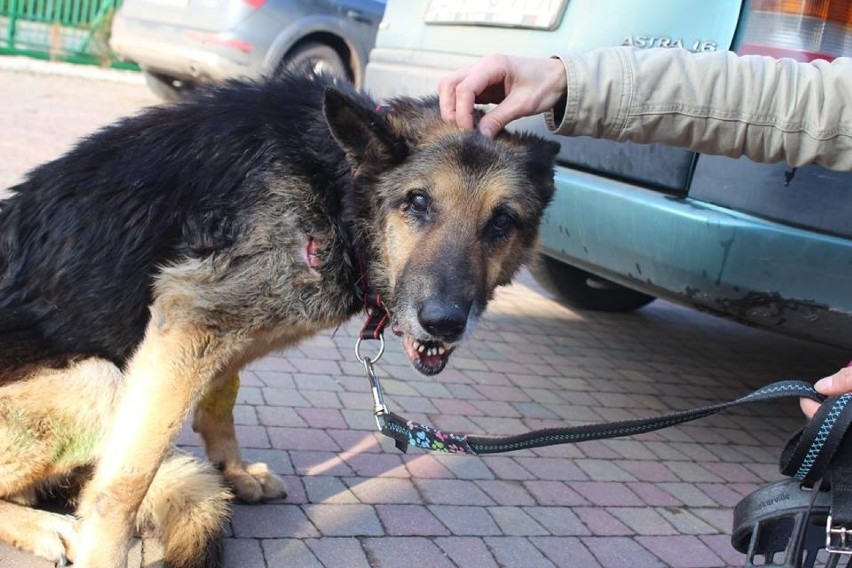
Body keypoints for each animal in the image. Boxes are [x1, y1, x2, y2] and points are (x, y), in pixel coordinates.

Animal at [0, 73, 560, 564]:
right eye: (418, 202)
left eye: (502, 222)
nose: (444, 323)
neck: (337, 186)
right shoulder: (190, 319)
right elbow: (124, 484)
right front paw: (104, 555)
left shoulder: (218, 326)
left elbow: (221, 397)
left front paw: (232, 469)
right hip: (96, 380)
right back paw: (46, 527)